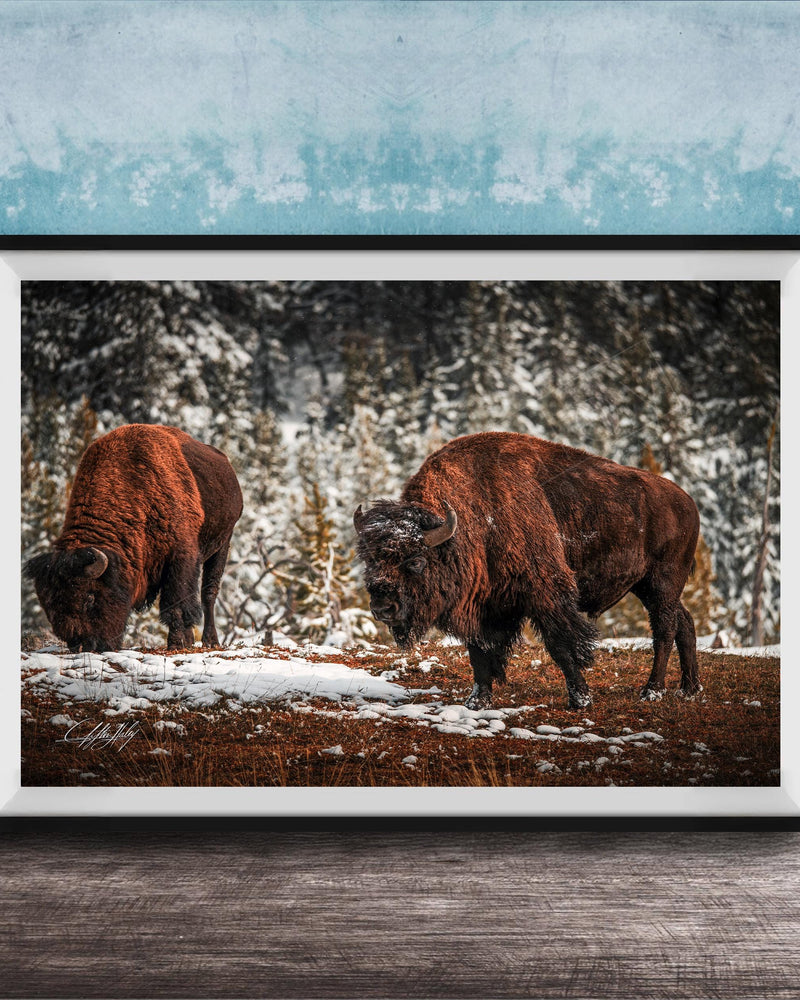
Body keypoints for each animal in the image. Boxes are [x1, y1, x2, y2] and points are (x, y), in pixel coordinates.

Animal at [25, 424, 243, 652]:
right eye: (49, 605)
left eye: (90, 597)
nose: (84, 645)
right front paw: (184, 641)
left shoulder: (181, 557)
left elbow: (176, 603)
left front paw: (176, 644)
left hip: (222, 544)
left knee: (209, 593)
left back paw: (211, 640)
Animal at [354, 432, 701, 709]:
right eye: (369, 559)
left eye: (415, 560)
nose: (382, 608)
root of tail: (687, 502)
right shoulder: (484, 605)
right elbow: (479, 653)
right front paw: (477, 701)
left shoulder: (545, 594)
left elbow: (561, 645)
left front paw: (581, 700)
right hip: (648, 587)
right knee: (684, 621)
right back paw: (690, 688)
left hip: (661, 582)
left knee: (664, 629)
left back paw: (652, 691)